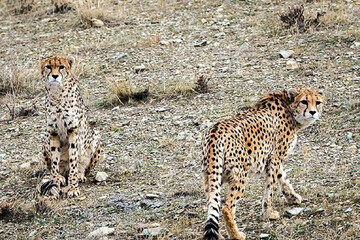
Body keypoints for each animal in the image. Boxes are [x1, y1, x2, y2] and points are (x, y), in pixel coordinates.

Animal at [38, 56, 102, 199]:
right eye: (48, 67)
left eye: (61, 67)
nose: (55, 76)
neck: (57, 94)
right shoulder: (53, 132)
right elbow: (54, 163)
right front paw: (55, 184)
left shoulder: (73, 130)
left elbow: (73, 160)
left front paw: (73, 188)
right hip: (44, 137)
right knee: (52, 169)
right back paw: (60, 177)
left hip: (95, 135)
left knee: (83, 167)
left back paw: (80, 175)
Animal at [202, 88, 326, 240]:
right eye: (304, 101)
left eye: (318, 102)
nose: (313, 112)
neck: (289, 107)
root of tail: (215, 131)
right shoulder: (275, 157)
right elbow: (270, 188)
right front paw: (268, 214)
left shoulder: (272, 158)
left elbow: (282, 177)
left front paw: (292, 197)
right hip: (240, 174)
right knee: (227, 207)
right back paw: (236, 234)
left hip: (210, 177)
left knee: (212, 206)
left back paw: (219, 236)